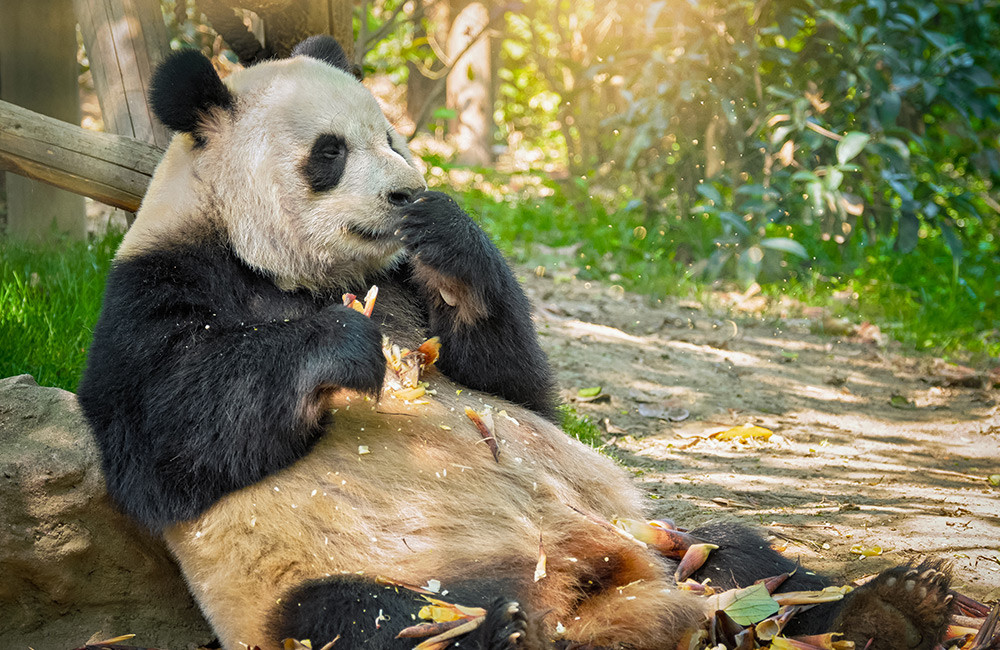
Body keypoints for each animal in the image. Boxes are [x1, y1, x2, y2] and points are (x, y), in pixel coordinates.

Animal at [78, 36, 954, 650]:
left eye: (392, 135)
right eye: (330, 151)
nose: (407, 193)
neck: (297, 272)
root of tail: (598, 598)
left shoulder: (408, 286)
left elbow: (516, 387)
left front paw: (451, 236)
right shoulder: (158, 286)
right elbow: (167, 435)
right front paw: (343, 345)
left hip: (655, 535)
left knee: (747, 561)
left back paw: (890, 607)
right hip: (355, 579)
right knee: (366, 615)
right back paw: (498, 624)